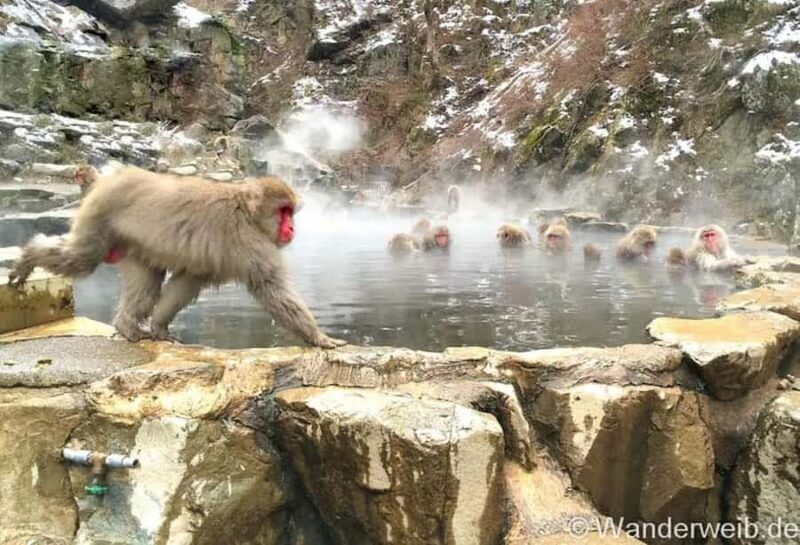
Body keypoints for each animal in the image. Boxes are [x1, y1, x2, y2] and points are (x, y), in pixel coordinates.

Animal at [8, 165, 345, 349]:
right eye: (284, 211)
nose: (292, 227)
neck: (248, 213)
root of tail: (108, 178)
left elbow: (187, 283)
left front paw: (159, 326)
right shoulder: (251, 244)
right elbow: (271, 288)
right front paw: (318, 337)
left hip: (131, 243)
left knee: (146, 284)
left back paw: (126, 325)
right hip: (99, 218)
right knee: (81, 257)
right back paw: (28, 257)